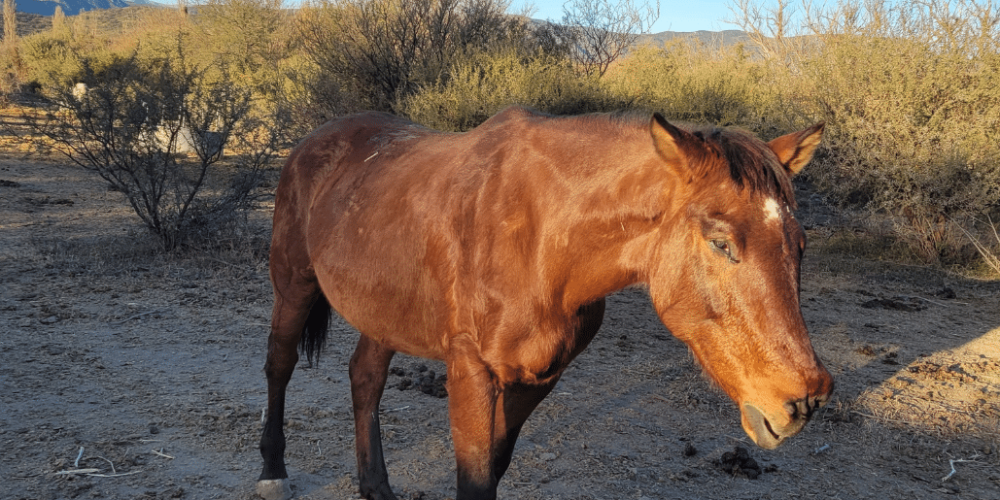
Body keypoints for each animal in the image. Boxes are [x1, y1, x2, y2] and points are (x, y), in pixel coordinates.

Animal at [254, 106, 832, 500]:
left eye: (801, 245)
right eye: (720, 242)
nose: (803, 400)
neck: (543, 240)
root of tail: (315, 140)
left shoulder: (540, 376)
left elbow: (496, 468)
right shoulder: (471, 372)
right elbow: (474, 480)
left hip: (384, 310)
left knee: (365, 377)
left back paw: (375, 485)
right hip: (293, 284)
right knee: (280, 363)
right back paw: (272, 473)